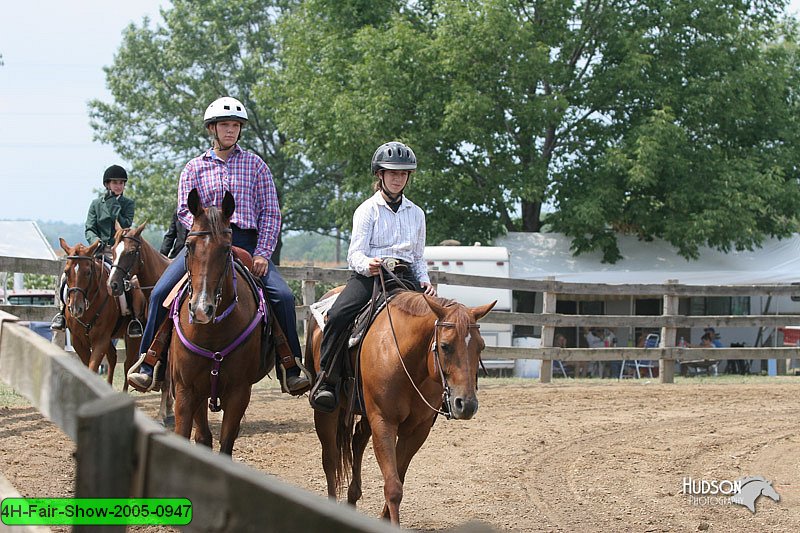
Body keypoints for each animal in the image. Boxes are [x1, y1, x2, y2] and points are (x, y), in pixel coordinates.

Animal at [58, 239, 141, 388]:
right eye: (66, 272)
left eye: (88, 272)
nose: (76, 308)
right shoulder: (78, 341)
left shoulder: (101, 340)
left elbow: (93, 368)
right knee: (113, 357)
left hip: (132, 337)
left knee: (128, 364)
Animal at [170, 187, 274, 454]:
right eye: (189, 246)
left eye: (227, 248)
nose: (201, 309)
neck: (212, 334)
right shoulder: (186, 390)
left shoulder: (239, 393)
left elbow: (226, 444)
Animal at [306, 284, 494, 520]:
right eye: (445, 346)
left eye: (481, 346)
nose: (466, 404)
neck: (405, 359)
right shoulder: (384, 421)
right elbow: (393, 487)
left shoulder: (417, 429)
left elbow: (399, 476)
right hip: (327, 411)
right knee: (330, 460)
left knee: (357, 440)